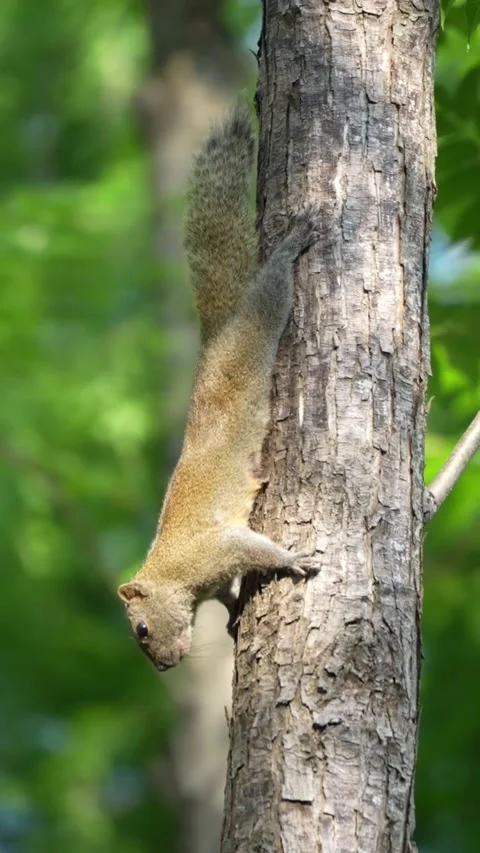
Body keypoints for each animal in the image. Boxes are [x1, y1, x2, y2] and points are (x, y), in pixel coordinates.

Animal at [118, 98, 319, 672]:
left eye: (141, 630)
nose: (165, 666)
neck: (169, 572)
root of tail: (212, 346)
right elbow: (229, 593)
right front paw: (232, 617)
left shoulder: (217, 549)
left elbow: (255, 550)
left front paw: (292, 558)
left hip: (252, 338)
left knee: (270, 296)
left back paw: (289, 249)